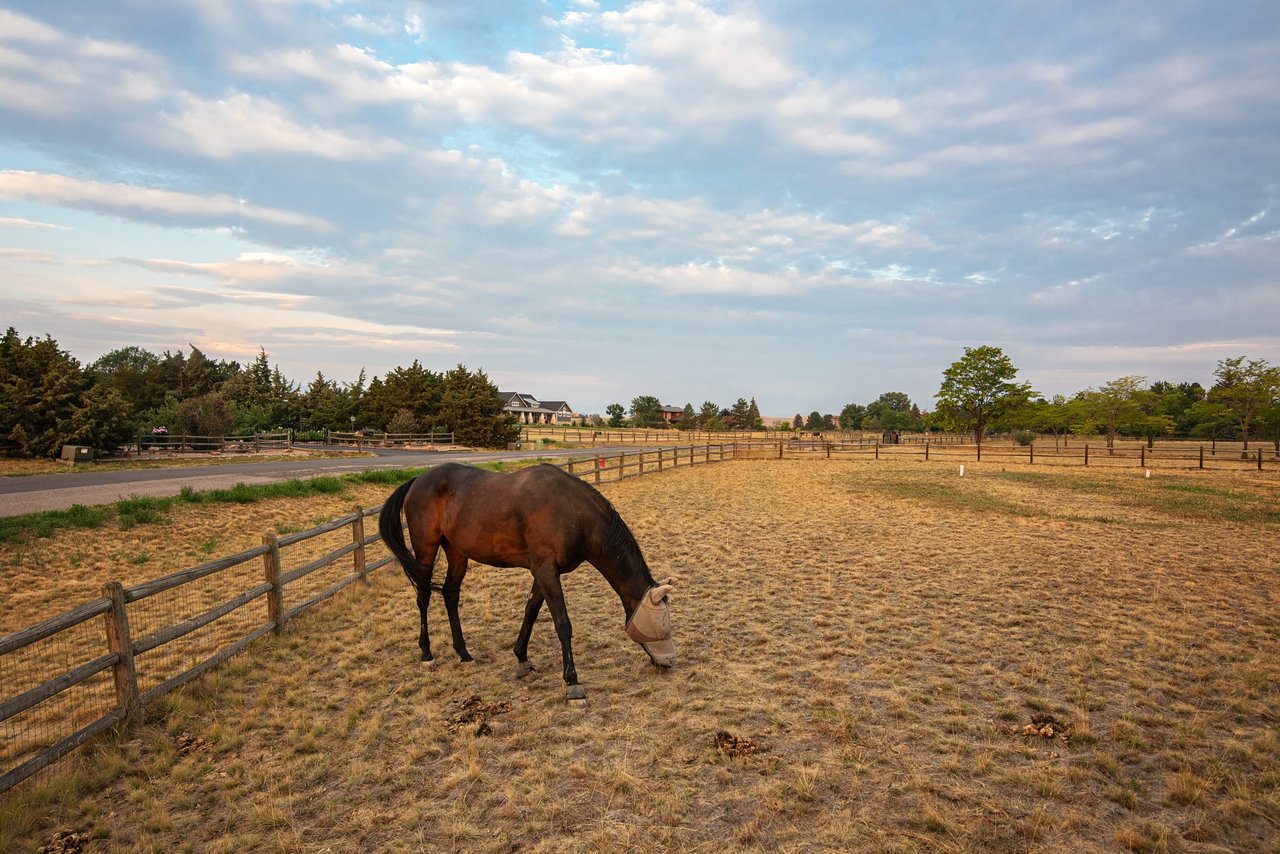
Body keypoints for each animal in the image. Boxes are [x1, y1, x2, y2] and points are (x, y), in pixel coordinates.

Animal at [378, 463, 675, 696]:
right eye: (662, 624)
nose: (669, 662)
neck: (570, 511)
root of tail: (418, 479)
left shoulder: (542, 572)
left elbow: (531, 611)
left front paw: (521, 658)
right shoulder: (546, 571)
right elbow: (562, 624)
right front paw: (572, 681)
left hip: (457, 552)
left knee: (450, 594)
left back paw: (463, 653)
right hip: (426, 551)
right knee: (424, 596)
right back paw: (426, 653)